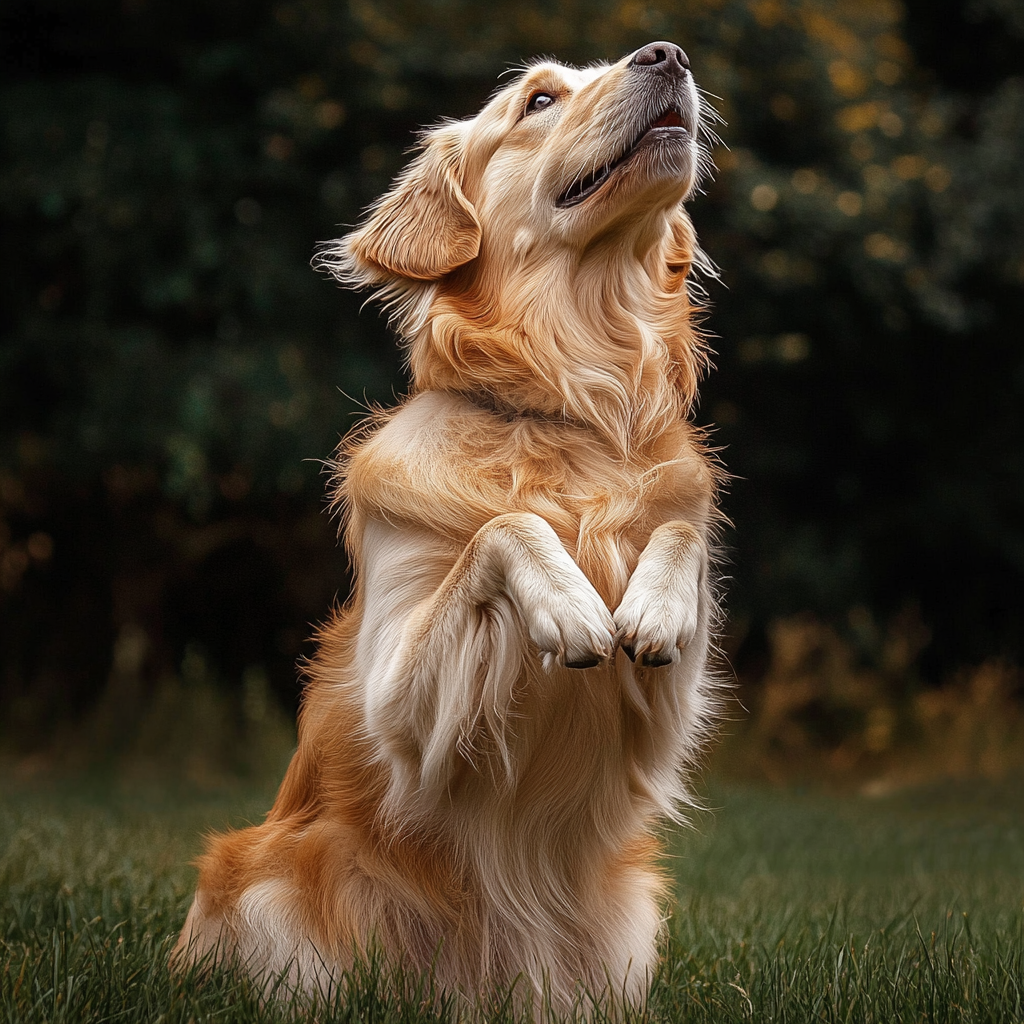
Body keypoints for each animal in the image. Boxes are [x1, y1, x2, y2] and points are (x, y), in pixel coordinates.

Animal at [174, 37, 720, 1015]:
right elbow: (503, 529)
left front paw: (652, 603)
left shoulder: (664, 713)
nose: (668, 53)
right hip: (272, 888)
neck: (565, 408)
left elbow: (682, 535)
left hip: (627, 930)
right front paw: (570, 605)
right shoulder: (397, 710)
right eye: (539, 99)